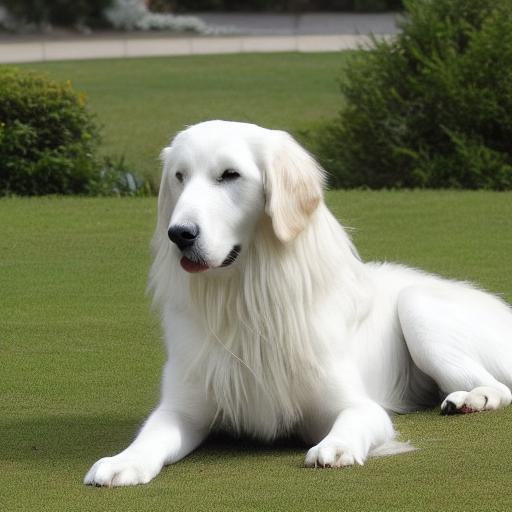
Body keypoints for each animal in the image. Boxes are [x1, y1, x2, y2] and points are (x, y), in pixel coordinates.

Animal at [85, 121, 512, 488]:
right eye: (179, 176)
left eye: (229, 175)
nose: (179, 234)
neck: (243, 302)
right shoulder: (182, 409)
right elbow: (149, 437)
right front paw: (123, 462)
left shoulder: (361, 408)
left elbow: (351, 424)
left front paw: (335, 447)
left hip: (417, 307)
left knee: (497, 386)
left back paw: (471, 399)